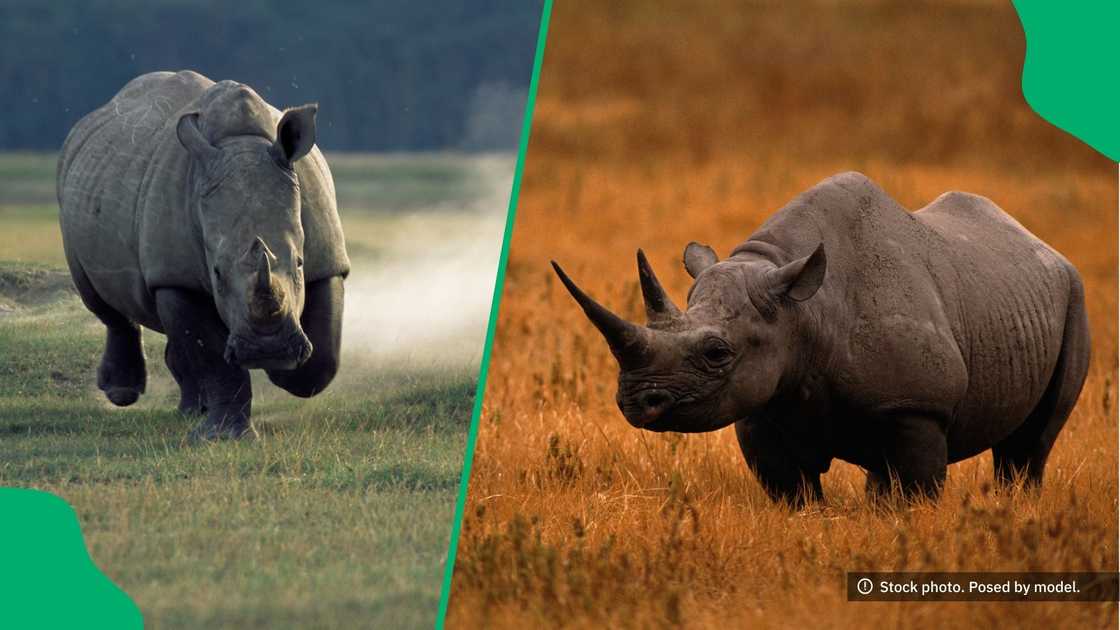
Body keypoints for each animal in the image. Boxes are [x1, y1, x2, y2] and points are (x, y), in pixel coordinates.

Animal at [58, 70, 349, 440]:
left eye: (300, 262)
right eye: (217, 273)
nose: (267, 348)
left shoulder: (327, 259)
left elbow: (324, 357)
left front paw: (285, 371)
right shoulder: (175, 276)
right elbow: (211, 357)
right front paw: (224, 437)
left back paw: (192, 410)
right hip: (72, 193)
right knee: (102, 303)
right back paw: (123, 394)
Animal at [553, 172, 1089, 503]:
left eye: (716, 352)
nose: (635, 402)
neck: (802, 312)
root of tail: (1039, 242)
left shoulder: (919, 404)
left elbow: (917, 489)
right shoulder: (760, 402)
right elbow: (791, 490)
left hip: (1073, 294)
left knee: (1030, 444)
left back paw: (1017, 504)